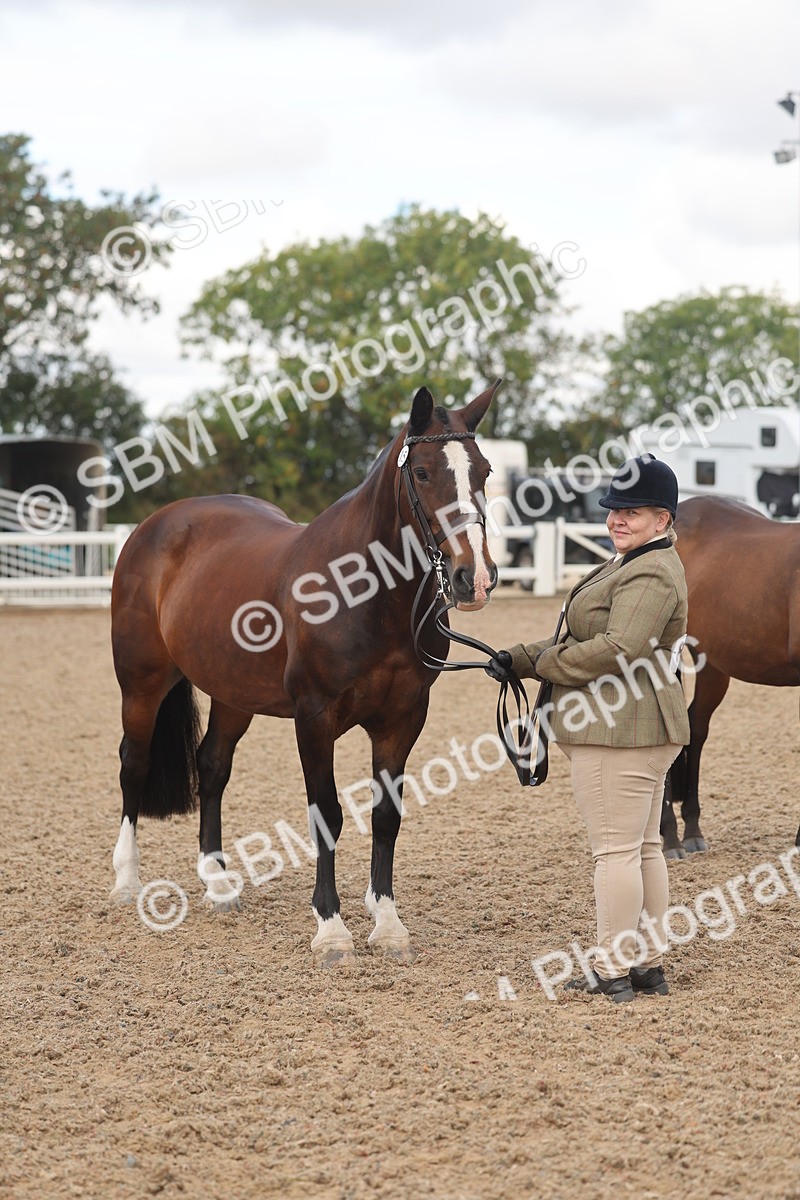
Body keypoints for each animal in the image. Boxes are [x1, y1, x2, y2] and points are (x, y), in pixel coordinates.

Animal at [109, 382, 500, 965]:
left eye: (484, 471)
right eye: (424, 472)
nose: (472, 578)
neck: (366, 595)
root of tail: (156, 525)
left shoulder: (403, 718)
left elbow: (386, 815)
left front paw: (387, 923)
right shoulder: (314, 718)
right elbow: (328, 815)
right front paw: (332, 929)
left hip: (233, 694)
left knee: (213, 766)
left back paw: (217, 882)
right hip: (142, 684)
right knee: (133, 764)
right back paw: (126, 882)